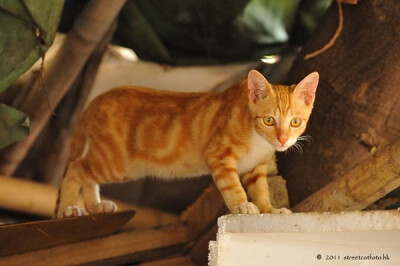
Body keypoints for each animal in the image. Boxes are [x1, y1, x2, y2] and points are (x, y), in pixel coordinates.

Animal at [55, 70, 318, 218]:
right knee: (75, 169)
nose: (283, 140)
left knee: (86, 174)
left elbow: (262, 189)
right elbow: (233, 186)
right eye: (269, 120)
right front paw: (242, 205)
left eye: (295, 122)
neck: (258, 141)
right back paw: (68, 209)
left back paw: (95, 207)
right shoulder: (218, 155)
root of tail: (97, 99)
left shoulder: (256, 168)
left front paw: (268, 209)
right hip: (117, 163)